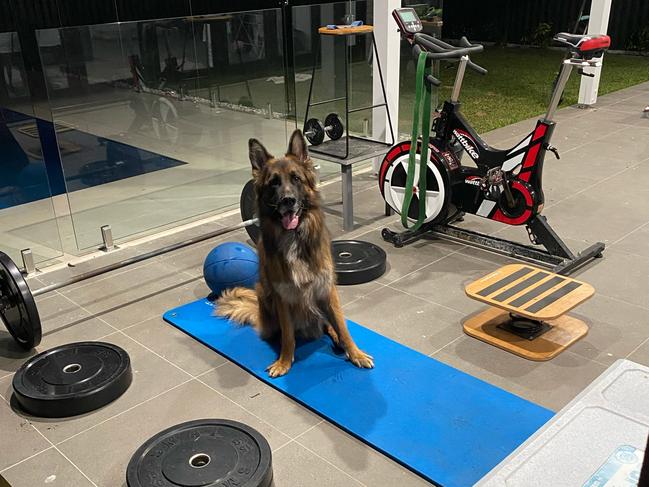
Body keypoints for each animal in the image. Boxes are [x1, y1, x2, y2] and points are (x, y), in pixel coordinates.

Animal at [215, 129, 372, 378]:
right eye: (274, 183)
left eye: (296, 178)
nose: (287, 201)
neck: (294, 238)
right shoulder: (283, 295)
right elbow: (288, 335)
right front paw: (284, 361)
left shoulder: (326, 288)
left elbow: (343, 326)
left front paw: (355, 353)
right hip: (265, 295)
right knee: (280, 331)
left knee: (330, 324)